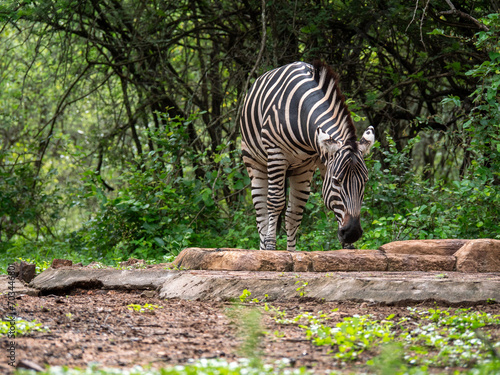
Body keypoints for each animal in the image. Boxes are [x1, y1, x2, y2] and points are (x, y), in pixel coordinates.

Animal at [239, 60, 376, 251]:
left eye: (365, 181)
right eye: (337, 181)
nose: (352, 233)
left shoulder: (311, 163)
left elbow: (297, 213)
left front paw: (347, 248)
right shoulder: (276, 153)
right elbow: (275, 202)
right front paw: (271, 247)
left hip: (298, 169)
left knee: (292, 214)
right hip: (255, 161)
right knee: (262, 211)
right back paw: (264, 248)